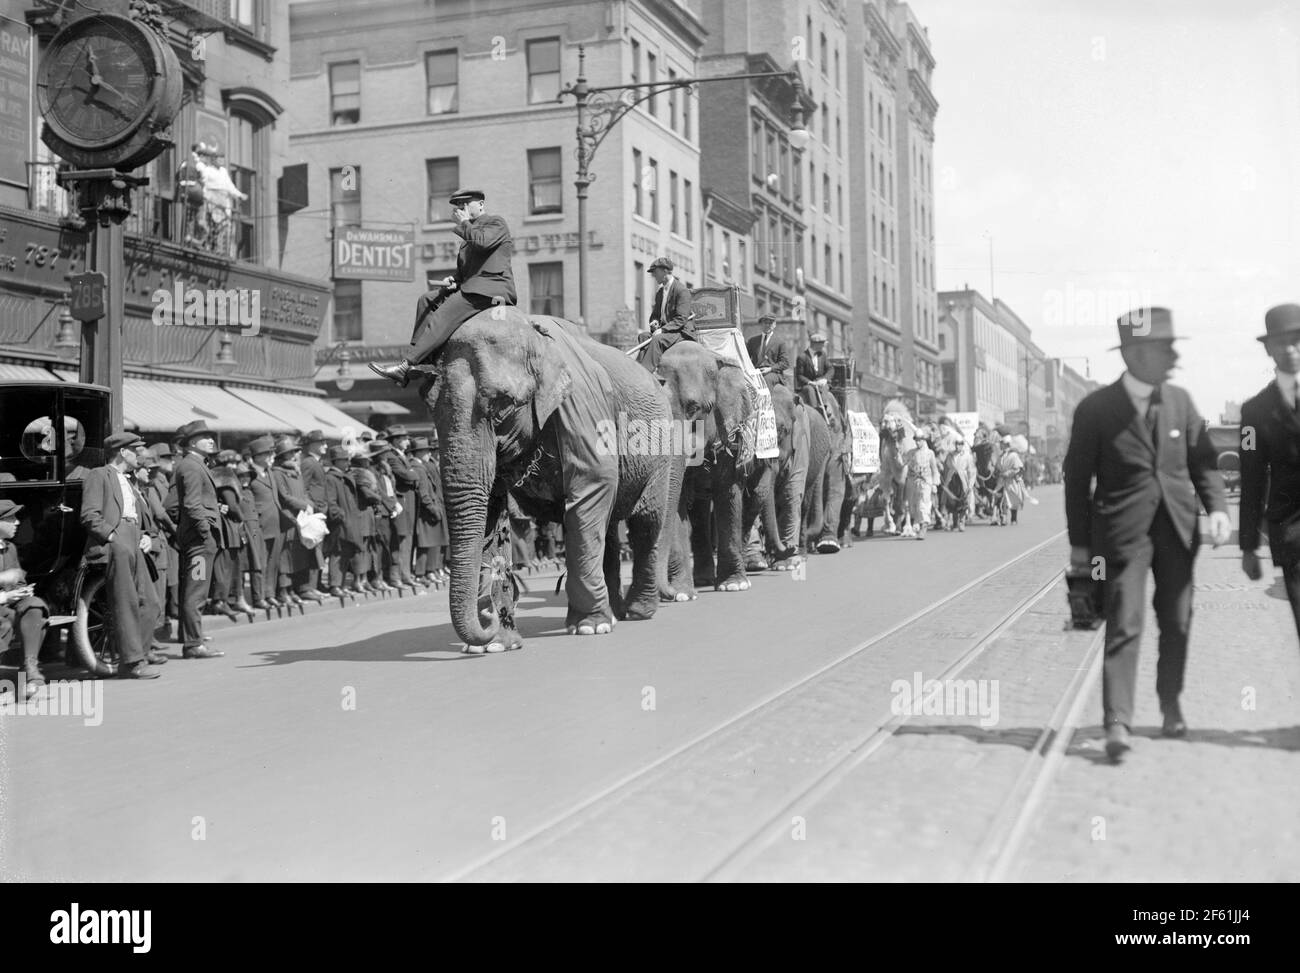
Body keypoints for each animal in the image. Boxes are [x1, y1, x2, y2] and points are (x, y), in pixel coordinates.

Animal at [423, 308, 676, 650]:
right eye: (431, 407)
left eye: (503, 404)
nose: (488, 618)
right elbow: (490, 511)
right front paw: (496, 644)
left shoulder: (582, 407)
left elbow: (591, 485)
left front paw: (589, 627)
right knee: (610, 527)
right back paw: (614, 613)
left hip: (661, 449)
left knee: (645, 522)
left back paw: (637, 612)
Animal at [655, 340, 764, 600]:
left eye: (694, 408)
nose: (667, 593)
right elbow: (678, 502)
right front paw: (683, 594)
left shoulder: (731, 436)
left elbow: (728, 494)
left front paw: (734, 586)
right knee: (700, 512)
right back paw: (702, 579)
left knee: (753, 500)